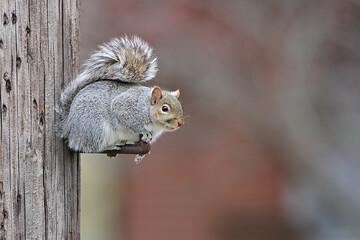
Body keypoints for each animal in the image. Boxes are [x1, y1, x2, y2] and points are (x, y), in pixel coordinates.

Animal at [56, 35, 186, 163]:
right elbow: (128, 118)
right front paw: (143, 131)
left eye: (180, 106)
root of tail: (68, 128)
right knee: (91, 147)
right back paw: (110, 146)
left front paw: (141, 155)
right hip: (95, 127)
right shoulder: (126, 107)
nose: (180, 123)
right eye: (165, 108)